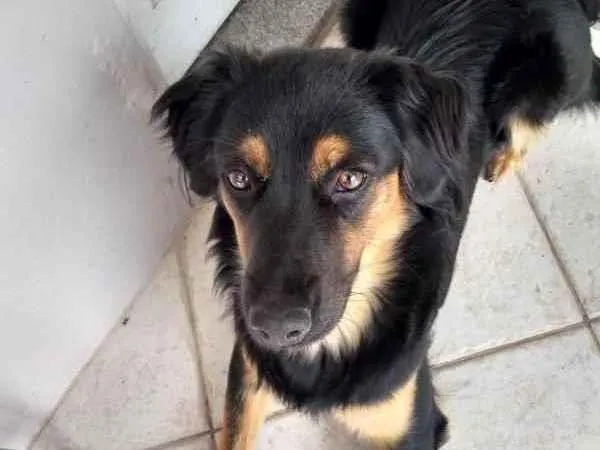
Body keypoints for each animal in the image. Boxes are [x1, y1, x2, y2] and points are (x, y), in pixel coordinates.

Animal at [152, 0, 600, 448]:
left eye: (350, 178)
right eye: (238, 178)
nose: (276, 329)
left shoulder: (412, 419)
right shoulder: (247, 369)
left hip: (550, 74)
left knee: (529, 122)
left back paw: (502, 155)